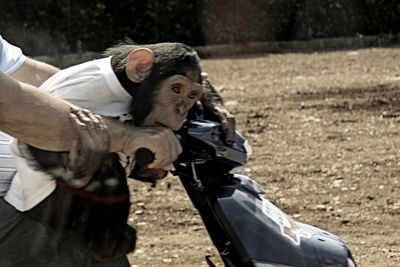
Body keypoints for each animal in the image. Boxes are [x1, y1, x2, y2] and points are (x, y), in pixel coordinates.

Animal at [6, 40, 230, 262]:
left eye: (191, 95)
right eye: (176, 89)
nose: (181, 110)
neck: (127, 90)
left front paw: (212, 104)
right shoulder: (85, 89)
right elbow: (43, 125)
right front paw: (84, 162)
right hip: (52, 220)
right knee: (108, 167)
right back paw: (108, 247)